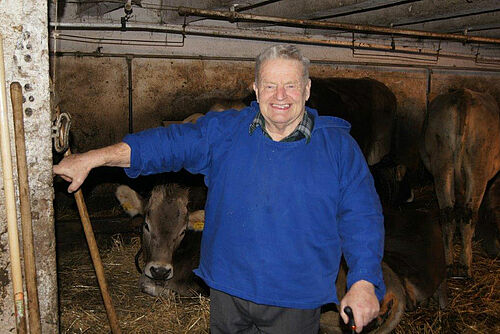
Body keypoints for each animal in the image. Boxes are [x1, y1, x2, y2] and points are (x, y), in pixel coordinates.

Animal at [420, 87, 498, 278]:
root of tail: (463, 95)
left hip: (442, 161)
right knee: (469, 214)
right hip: (479, 164)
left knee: (447, 213)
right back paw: (466, 265)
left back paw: (448, 264)